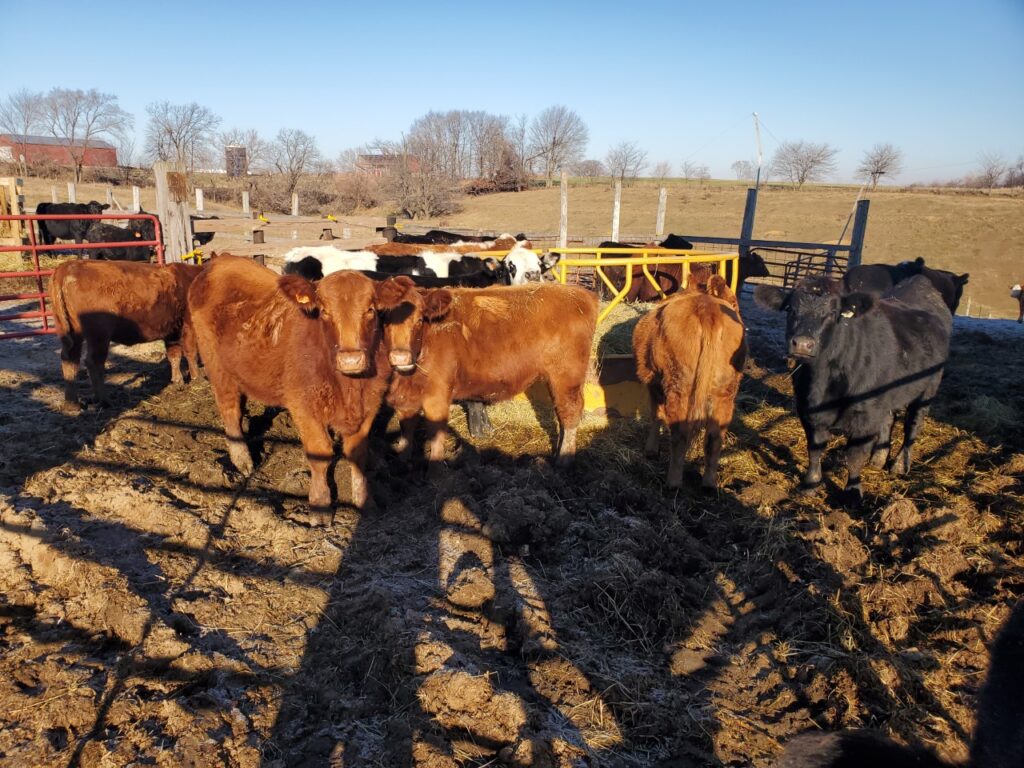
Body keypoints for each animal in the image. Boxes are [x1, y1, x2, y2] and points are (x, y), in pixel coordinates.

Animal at [50, 260, 202, 412]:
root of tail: (68, 266)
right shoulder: (188, 326)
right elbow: (191, 352)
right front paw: (196, 378)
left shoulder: (171, 331)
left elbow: (174, 355)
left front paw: (178, 380)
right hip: (99, 336)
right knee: (93, 363)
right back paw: (104, 401)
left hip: (72, 335)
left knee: (70, 359)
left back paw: (72, 403)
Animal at [187, 254, 417, 512]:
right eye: (324, 312)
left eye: (370, 310)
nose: (351, 359)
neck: (348, 386)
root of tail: (221, 261)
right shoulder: (303, 406)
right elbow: (320, 452)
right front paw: (320, 503)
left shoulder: (370, 403)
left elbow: (357, 453)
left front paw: (363, 501)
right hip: (216, 365)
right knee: (230, 410)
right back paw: (242, 459)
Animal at [380, 282, 598, 469]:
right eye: (384, 320)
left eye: (419, 320)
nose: (400, 357)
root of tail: (579, 293)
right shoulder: (405, 398)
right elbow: (406, 429)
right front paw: (402, 461)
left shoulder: (437, 395)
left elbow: (436, 435)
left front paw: (435, 472)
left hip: (566, 376)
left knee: (569, 412)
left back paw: (564, 459)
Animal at [633, 274, 746, 489]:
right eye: (734, 302)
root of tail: (708, 309)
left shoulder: (653, 383)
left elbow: (655, 415)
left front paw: (651, 450)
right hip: (725, 391)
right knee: (714, 438)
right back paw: (708, 484)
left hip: (680, 386)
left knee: (680, 434)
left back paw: (673, 482)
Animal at [754, 275, 952, 503]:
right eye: (790, 309)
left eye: (833, 313)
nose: (802, 344)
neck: (822, 381)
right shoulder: (807, 409)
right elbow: (815, 448)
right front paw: (810, 484)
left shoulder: (864, 414)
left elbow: (855, 455)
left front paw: (853, 490)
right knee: (888, 419)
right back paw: (878, 459)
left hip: (927, 389)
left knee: (912, 425)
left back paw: (900, 465)